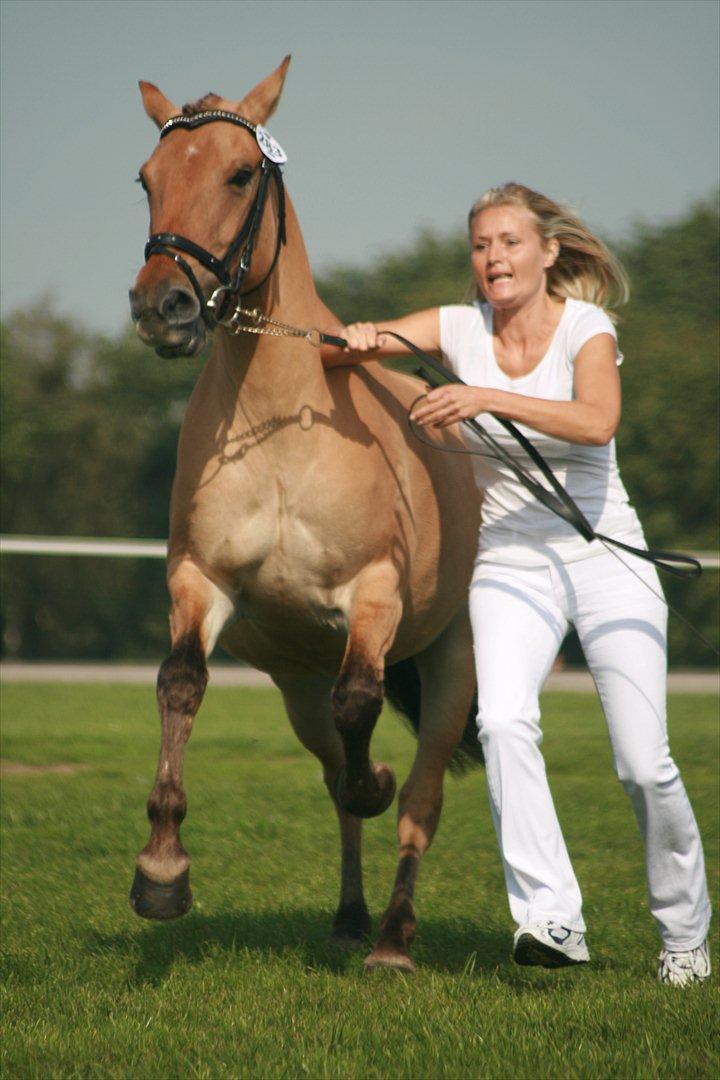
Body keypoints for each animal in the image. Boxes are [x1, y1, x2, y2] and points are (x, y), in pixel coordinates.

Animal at [126, 56, 481, 972]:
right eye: (146, 179)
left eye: (239, 173)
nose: (161, 307)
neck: (282, 428)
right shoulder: (201, 583)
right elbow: (180, 684)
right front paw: (162, 872)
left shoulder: (375, 597)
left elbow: (366, 722)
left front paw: (376, 780)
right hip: (296, 684)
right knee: (331, 778)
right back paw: (352, 917)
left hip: (451, 665)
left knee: (421, 796)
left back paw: (392, 938)